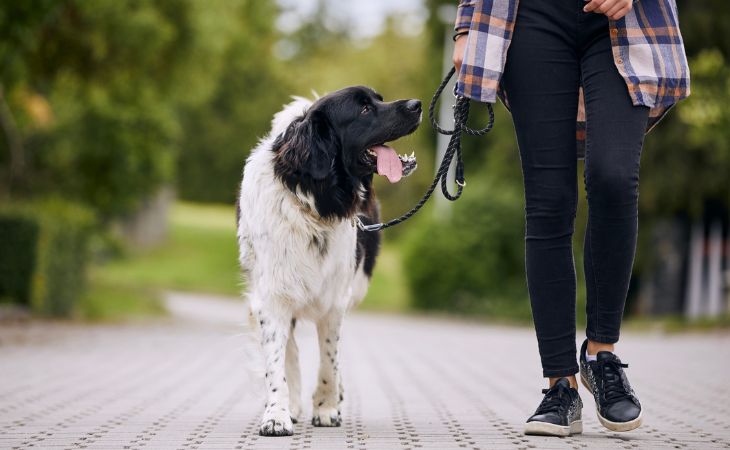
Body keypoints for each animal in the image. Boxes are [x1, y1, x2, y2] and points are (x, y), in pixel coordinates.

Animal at [237, 87, 420, 436]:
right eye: (364, 109)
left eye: (379, 98)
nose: (417, 104)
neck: (313, 202)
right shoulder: (270, 297)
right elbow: (277, 360)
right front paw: (277, 414)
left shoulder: (335, 299)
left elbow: (328, 358)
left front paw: (326, 407)